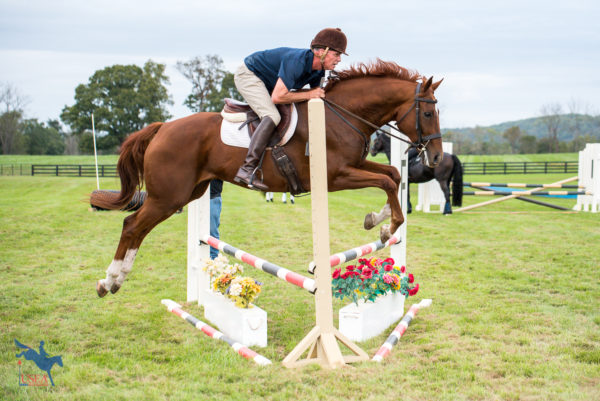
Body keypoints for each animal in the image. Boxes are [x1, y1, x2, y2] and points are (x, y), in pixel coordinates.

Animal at [91, 60, 442, 296]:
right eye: (428, 113)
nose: (437, 157)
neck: (341, 115)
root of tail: (163, 127)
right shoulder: (336, 176)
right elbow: (387, 181)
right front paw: (387, 227)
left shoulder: (355, 165)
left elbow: (393, 174)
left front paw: (376, 220)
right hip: (169, 196)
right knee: (132, 225)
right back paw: (109, 280)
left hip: (190, 192)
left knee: (139, 228)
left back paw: (116, 280)